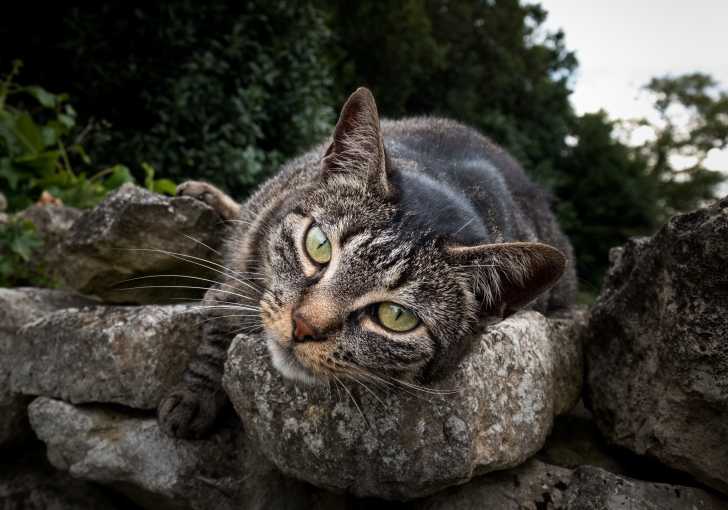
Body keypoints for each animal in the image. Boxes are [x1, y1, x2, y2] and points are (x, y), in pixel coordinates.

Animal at [158, 87, 576, 438]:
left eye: (396, 316)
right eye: (319, 246)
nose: (303, 326)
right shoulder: (237, 278)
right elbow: (220, 324)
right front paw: (194, 396)